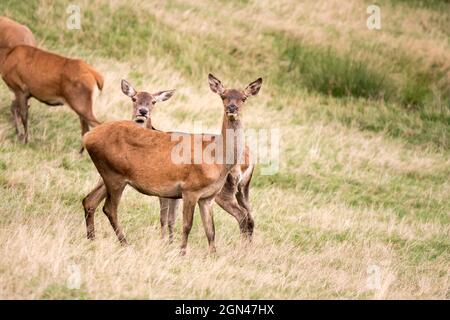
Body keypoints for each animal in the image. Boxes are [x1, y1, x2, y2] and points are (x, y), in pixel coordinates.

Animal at [82, 74, 262, 254]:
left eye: (244, 98)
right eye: (223, 96)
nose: (232, 108)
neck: (217, 159)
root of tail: (87, 137)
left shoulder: (207, 196)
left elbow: (210, 230)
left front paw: (212, 255)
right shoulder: (189, 189)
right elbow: (186, 224)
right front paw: (181, 252)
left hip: (109, 174)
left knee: (90, 201)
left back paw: (92, 239)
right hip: (114, 175)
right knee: (109, 208)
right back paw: (125, 243)